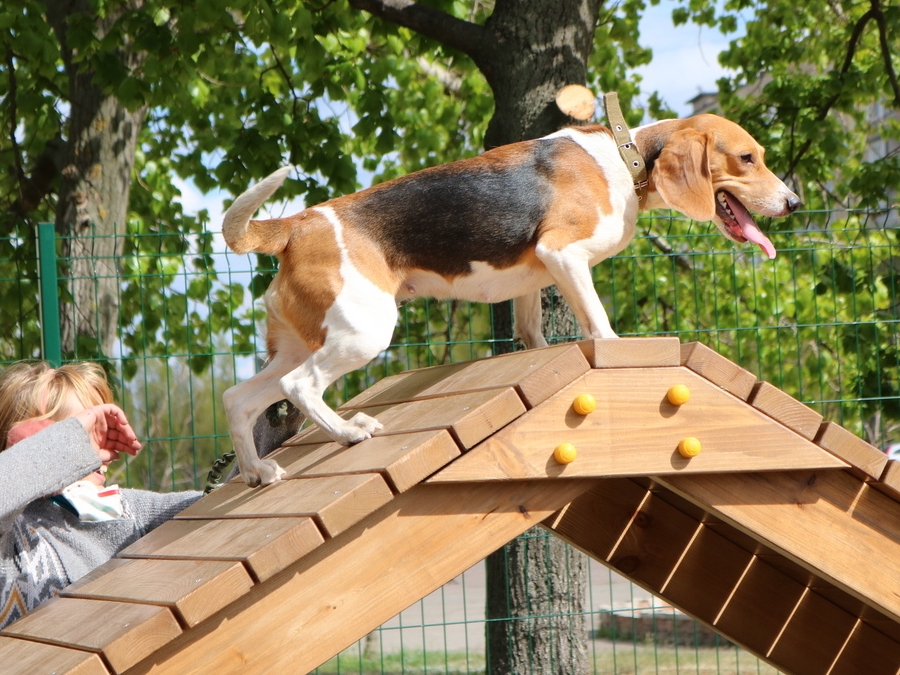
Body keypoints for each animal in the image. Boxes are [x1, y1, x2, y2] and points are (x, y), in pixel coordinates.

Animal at [221, 115, 800, 486]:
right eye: (746, 158)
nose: (794, 202)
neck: (624, 156)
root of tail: (296, 225)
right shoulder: (564, 253)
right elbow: (599, 323)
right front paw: (616, 351)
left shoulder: (535, 279)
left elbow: (532, 332)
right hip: (363, 332)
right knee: (301, 387)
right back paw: (348, 432)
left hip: (298, 344)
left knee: (239, 399)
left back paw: (257, 471)